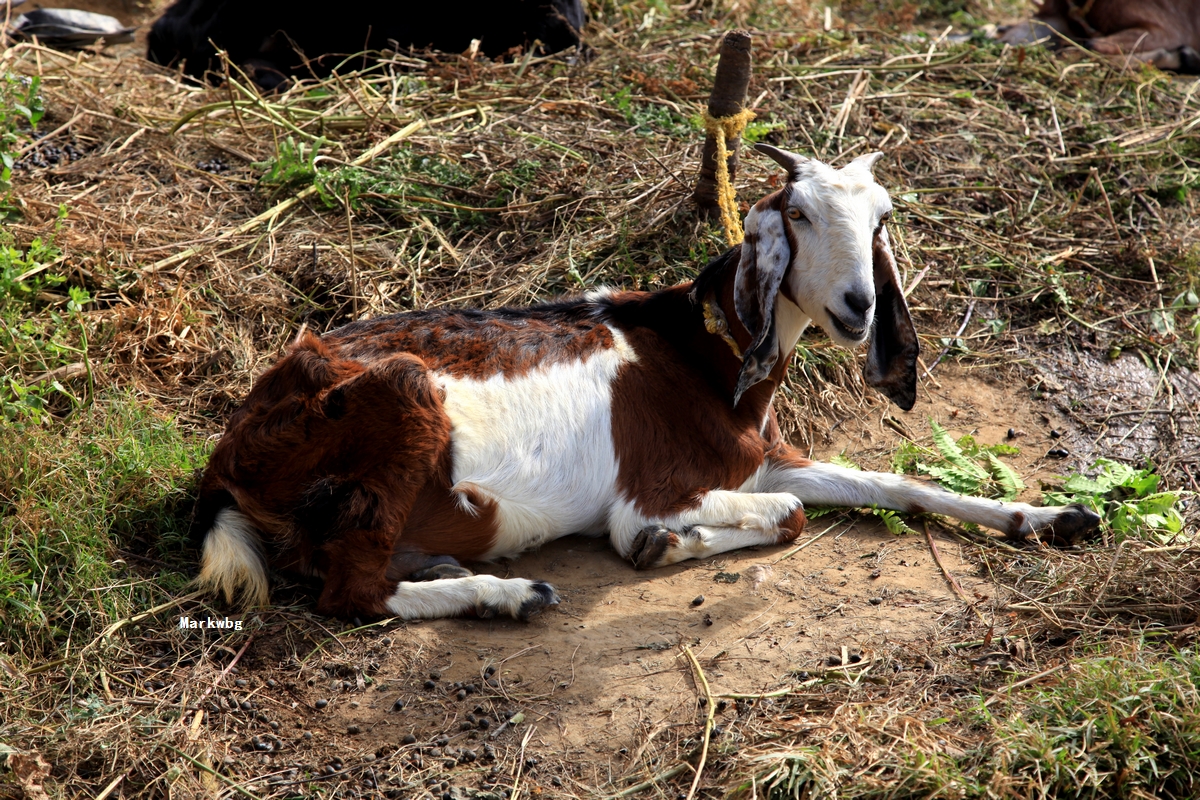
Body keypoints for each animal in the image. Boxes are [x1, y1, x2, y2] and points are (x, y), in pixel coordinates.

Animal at [192, 142, 1099, 618]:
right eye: (798, 214)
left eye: (880, 220)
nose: (858, 305)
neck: (701, 354)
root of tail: (230, 447)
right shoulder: (655, 489)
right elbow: (788, 515)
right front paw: (663, 545)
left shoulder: (767, 459)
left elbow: (892, 485)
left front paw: (1049, 516)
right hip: (402, 392)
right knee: (349, 592)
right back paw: (509, 592)